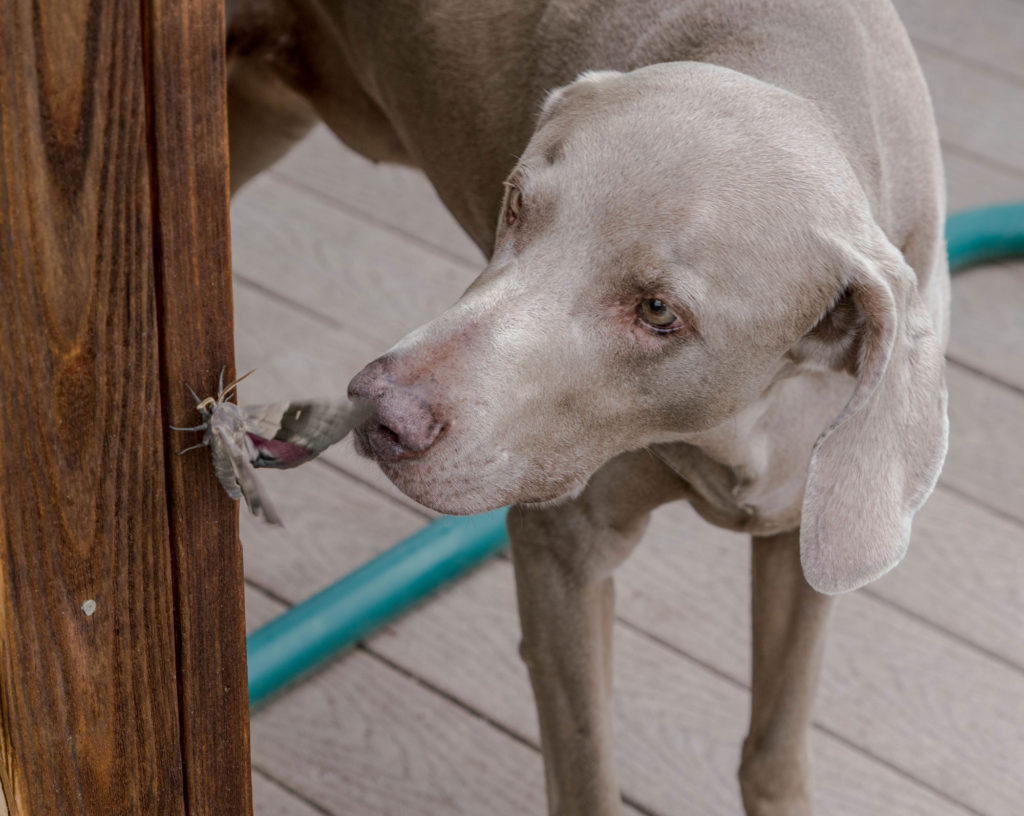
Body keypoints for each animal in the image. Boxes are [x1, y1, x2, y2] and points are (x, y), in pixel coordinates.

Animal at [228, 0, 946, 810]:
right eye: (515, 202)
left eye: (659, 311)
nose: (380, 413)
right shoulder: (564, 553)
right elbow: (586, 772)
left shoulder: (802, 535)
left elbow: (775, 746)